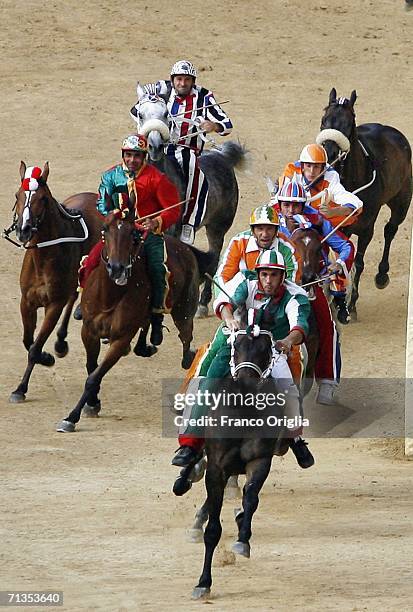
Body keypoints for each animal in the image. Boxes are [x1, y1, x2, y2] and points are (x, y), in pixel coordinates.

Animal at [7, 160, 102, 404]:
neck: (43, 256)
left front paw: (21, 387)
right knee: (73, 295)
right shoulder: (26, 302)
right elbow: (28, 341)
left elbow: (34, 346)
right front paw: (46, 357)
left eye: (43, 198)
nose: (24, 230)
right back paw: (60, 343)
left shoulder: (54, 304)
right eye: (17, 195)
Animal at [56, 208, 214, 432]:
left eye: (133, 232)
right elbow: (91, 368)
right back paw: (148, 344)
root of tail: (185, 249)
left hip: (184, 311)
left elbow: (94, 376)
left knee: (185, 338)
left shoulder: (120, 338)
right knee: (150, 326)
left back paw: (187, 357)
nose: (116, 268)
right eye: (105, 228)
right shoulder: (89, 332)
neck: (110, 295)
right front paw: (92, 403)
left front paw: (72, 417)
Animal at [187, 310, 290, 596]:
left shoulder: (259, 461)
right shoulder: (217, 467)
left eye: (266, 348)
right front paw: (203, 582)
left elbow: (251, 499)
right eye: (237, 345)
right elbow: (213, 528)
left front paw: (243, 539)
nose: (246, 381)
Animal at [318, 88, 410, 318]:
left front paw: (350, 305)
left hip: (402, 202)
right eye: (324, 120)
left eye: (347, 123)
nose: (329, 153)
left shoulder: (366, 226)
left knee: (390, 229)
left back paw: (382, 275)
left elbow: (358, 262)